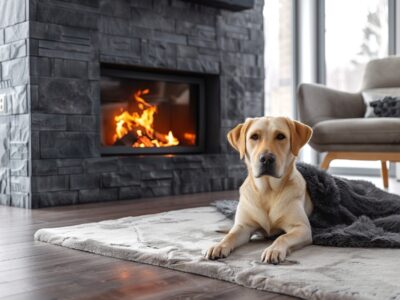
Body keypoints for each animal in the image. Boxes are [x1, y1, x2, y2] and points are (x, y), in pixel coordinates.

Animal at [208, 116, 314, 264]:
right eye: (254, 136)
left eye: (280, 136)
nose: (267, 159)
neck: (267, 191)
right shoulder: (243, 227)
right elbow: (231, 235)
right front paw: (218, 246)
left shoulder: (302, 228)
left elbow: (283, 237)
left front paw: (273, 250)